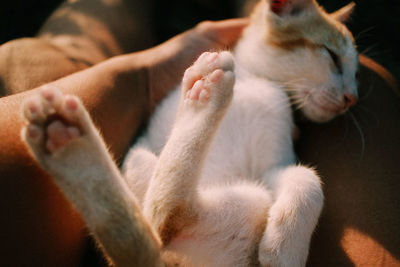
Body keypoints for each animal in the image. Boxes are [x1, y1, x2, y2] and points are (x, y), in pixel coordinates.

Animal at [21, 0, 360, 266]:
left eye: (356, 74)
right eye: (332, 56)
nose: (351, 98)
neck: (254, 79)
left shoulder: (272, 166)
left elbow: (307, 179)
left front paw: (285, 246)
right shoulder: (149, 138)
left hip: (249, 197)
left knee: (165, 220)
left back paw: (68, 144)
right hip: (144, 158)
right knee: (162, 221)